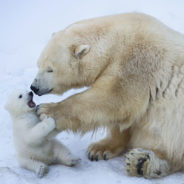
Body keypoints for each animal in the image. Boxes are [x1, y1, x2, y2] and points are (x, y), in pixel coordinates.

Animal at [30, 13, 184, 178]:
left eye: (50, 69)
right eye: (38, 64)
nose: (34, 87)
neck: (117, 41)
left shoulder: (139, 62)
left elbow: (113, 98)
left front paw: (46, 110)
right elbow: (123, 120)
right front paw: (99, 149)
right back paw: (141, 162)